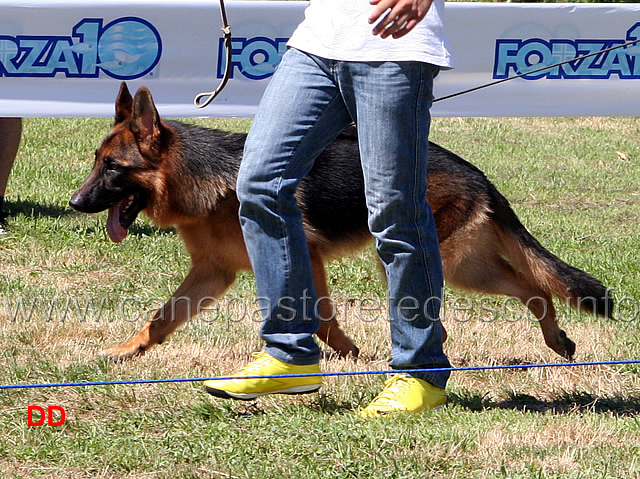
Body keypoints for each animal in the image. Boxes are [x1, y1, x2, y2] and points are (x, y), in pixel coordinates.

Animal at [69, 84, 608, 364]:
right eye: (96, 161)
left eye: (112, 168)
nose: (75, 203)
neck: (204, 177)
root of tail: (477, 173)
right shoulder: (212, 273)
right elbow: (163, 316)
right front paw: (127, 351)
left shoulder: (304, 255)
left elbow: (322, 316)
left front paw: (347, 356)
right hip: (450, 262)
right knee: (528, 286)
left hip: (448, 265)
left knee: (530, 286)